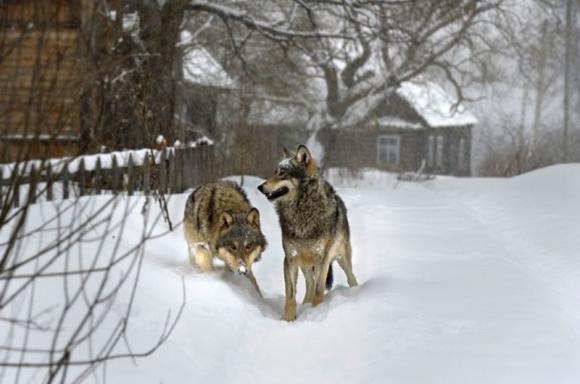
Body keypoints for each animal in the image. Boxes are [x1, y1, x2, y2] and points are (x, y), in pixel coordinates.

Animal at [258, 146, 358, 320]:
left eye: (282, 173)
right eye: (274, 172)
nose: (260, 187)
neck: (301, 212)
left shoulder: (322, 259)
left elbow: (319, 290)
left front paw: (316, 313)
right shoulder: (290, 258)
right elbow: (290, 294)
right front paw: (288, 319)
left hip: (341, 259)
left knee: (350, 278)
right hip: (304, 264)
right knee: (309, 286)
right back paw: (305, 305)